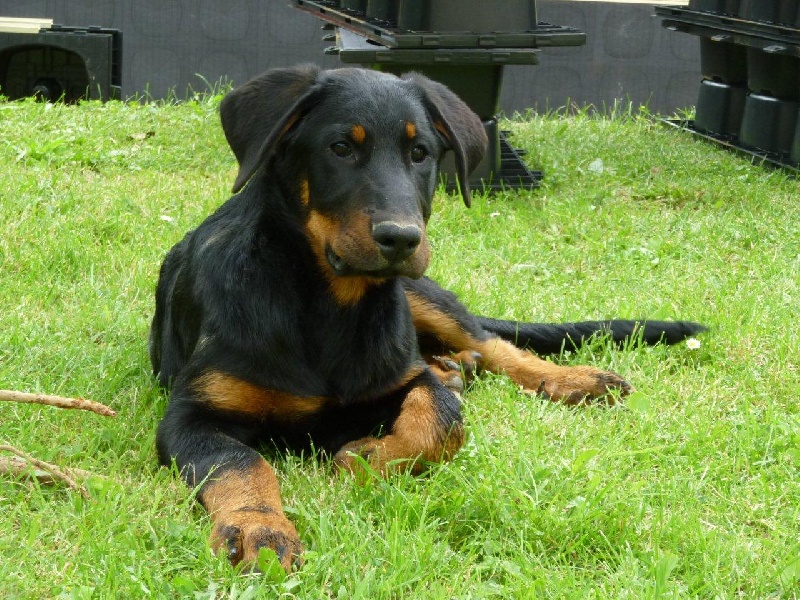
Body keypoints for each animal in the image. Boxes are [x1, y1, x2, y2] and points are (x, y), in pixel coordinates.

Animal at [149, 65, 705, 572]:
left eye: (420, 154)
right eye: (340, 148)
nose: (401, 239)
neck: (324, 305)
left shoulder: (398, 376)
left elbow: (442, 422)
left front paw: (368, 456)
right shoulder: (192, 416)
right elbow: (241, 463)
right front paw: (258, 528)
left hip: (418, 294)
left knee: (496, 346)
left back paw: (568, 379)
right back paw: (457, 368)